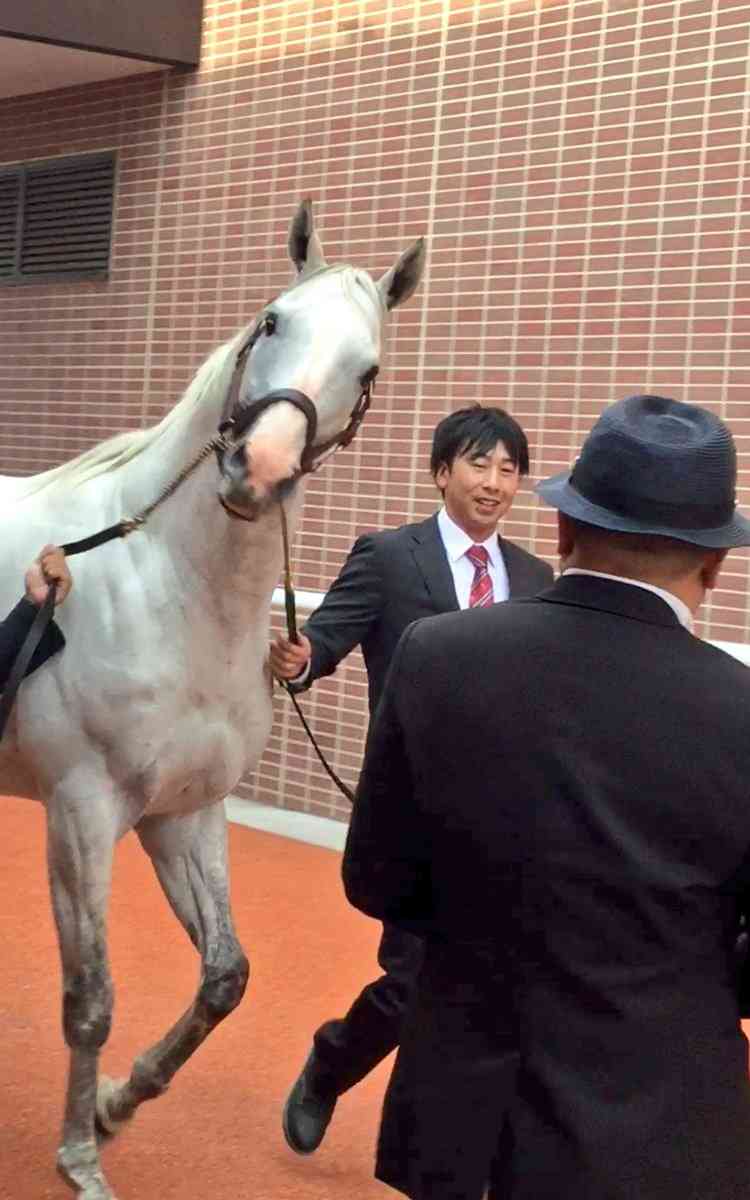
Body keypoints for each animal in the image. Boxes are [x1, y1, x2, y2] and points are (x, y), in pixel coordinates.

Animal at [0, 199, 425, 1200]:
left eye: (369, 370)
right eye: (271, 320)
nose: (257, 469)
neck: (165, 584)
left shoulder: (183, 812)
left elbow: (226, 976)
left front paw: (119, 1104)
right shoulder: (82, 811)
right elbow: (90, 999)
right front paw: (79, 1156)